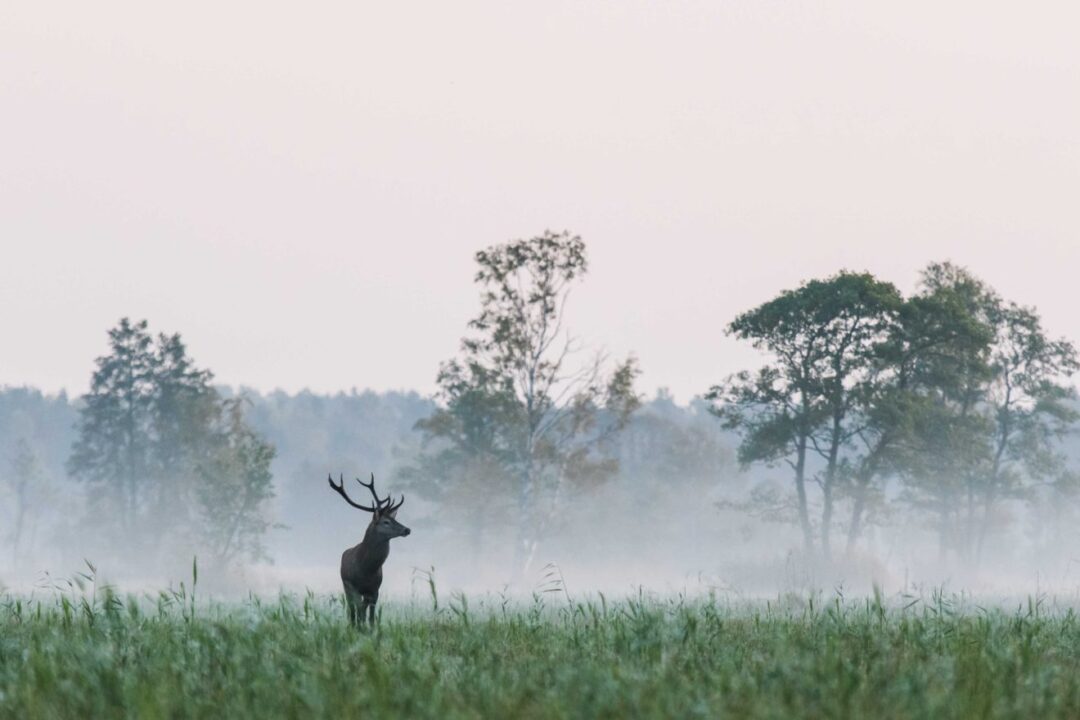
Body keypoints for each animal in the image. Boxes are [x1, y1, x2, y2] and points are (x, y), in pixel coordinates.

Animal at [324, 472, 408, 626]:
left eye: (394, 519)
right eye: (386, 522)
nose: (407, 529)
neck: (367, 569)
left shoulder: (375, 590)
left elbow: (371, 617)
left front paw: (370, 628)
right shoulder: (353, 586)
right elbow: (358, 610)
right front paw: (359, 627)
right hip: (346, 585)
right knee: (352, 609)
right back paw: (353, 625)